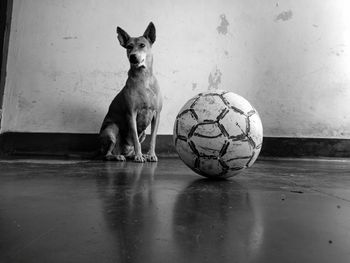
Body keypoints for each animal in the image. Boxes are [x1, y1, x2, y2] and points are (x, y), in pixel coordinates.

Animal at [100, 22, 163, 163]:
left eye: (142, 45)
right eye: (129, 47)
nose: (132, 56)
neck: (143, 78)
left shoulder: (156, 114)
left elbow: (153, 139)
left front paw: (151, 154)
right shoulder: (131, 114)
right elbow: (135, 138)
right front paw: (139, 156)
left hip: (143, 134)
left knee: (130, 148)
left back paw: (135, 154)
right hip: (112, 129)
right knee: (107, 154)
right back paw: (119, 156)